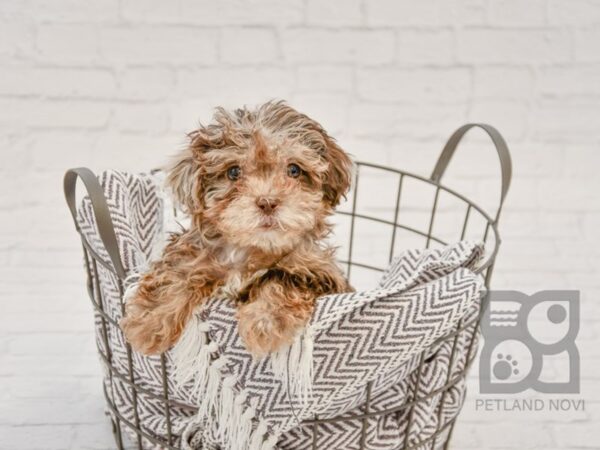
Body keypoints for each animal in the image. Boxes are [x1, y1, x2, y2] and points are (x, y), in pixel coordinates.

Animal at [122, 100, 354, 356]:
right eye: (234, 172)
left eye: (294, 170)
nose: (267, 202)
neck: (251, 250)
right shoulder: (194, 255)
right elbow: (175, 274)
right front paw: (148, 325)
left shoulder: (318, 270)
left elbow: (281, 278)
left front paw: (266, 322)